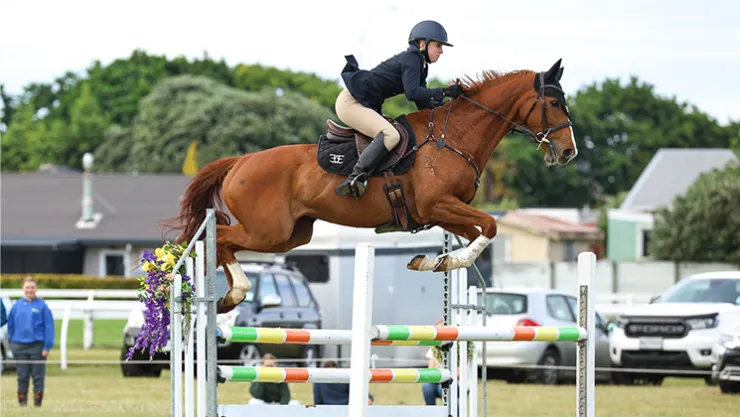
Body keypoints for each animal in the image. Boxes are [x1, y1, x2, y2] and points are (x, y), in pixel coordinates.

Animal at [165, 59, 577, 314]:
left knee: (225, 240)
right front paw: (443, 260)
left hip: (291, 235)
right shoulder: (438, 204)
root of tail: (240, 161)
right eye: (555, 103)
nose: (569, 152)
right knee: (219, 237)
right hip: (267, 230)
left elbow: (480, 234)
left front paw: (435, 261)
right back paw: (233, 293)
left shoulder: (442, 211)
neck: (455, 137)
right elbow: (490, 226)